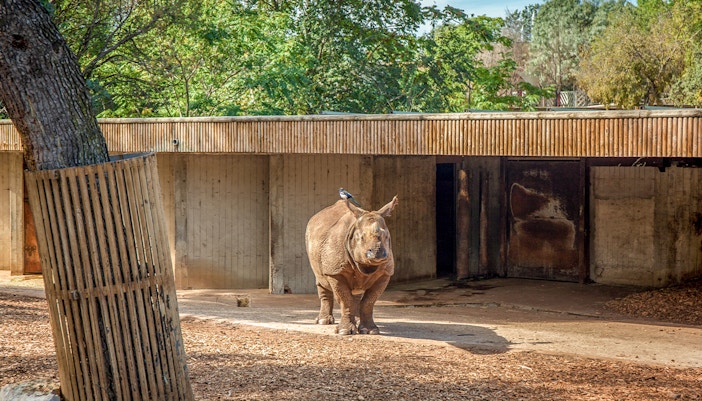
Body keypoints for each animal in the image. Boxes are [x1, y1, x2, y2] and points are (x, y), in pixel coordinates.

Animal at [305, 195, 398, 335]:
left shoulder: (385, 274)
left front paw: (370, 331)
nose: (378, 253)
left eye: (387, 237)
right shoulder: (335, 272)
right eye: (361, 238)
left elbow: (369, 302)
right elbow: (345, 300)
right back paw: (323, 321)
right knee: (321, 280)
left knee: (357, 293)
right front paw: (344, 331)